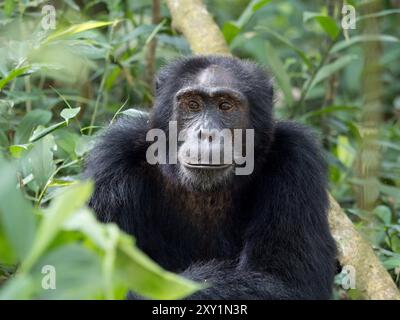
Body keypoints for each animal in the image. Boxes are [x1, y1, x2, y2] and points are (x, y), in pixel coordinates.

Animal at [85, 55, 338, 300]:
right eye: (193, 105)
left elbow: (286, 281)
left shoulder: (297, 160)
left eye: (225, 106)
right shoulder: (113, 161)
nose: (206, 133)